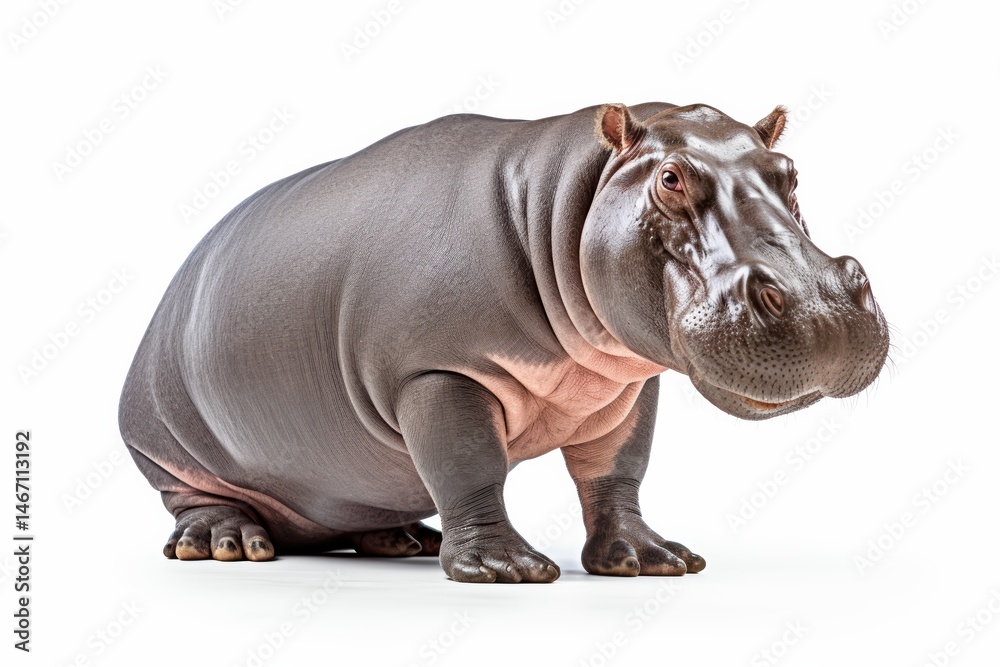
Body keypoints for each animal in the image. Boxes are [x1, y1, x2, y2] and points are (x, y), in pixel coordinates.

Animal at [119, 101, 889, 583]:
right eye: (670, 178)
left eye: (790, 173)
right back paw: (225, 545)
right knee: (190, 496)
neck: (562, 203)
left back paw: (403, 540)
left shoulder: (626, 384)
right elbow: (470, 465)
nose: (824, 309)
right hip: (161, 441)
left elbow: (616, 473)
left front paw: (651, 560)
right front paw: (506, 570)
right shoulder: (438, 373)